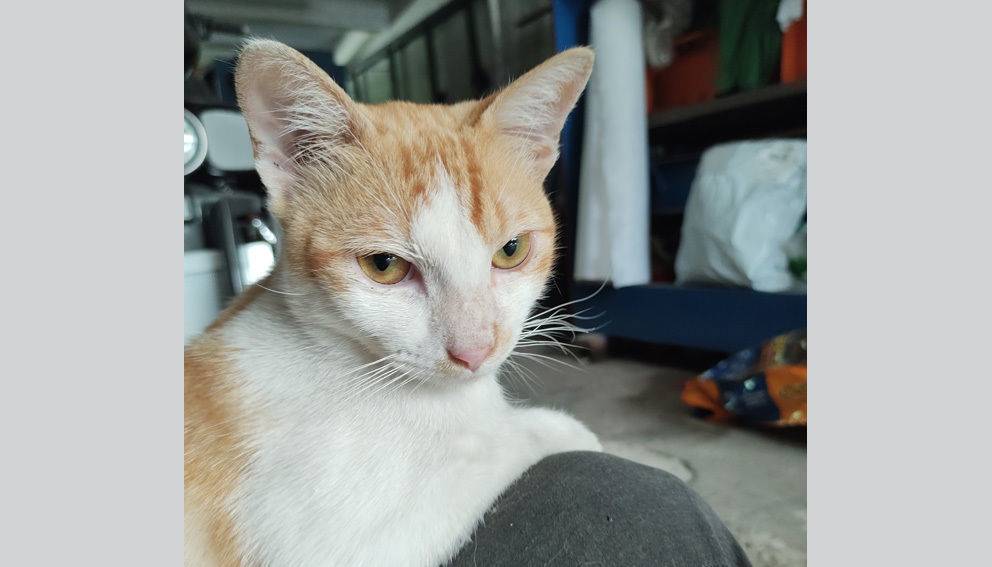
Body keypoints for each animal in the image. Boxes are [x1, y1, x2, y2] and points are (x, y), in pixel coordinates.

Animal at [185, 39, 601, 567]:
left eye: (511, 250)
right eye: (384, 265)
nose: (475, 351)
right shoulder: (330, 547)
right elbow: (494, 443)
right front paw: (565, 432)